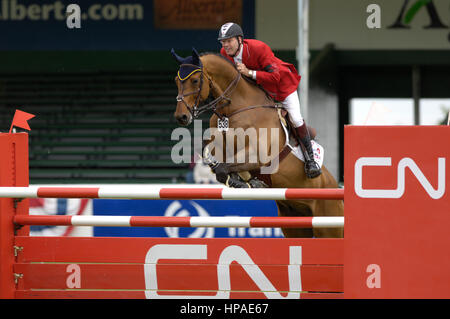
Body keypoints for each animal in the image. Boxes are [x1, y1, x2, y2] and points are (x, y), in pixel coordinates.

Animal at [171, 47, 342, 238]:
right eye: (177, 81)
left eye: (194, 80)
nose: (181, 117)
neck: (233, 109)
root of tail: (334, 185)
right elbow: (212, 156)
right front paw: (242, 180)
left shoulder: (258, 154)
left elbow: (224, 167)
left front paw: (242, 182)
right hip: (294, 222)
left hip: (328, 224)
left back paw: (312, 167)